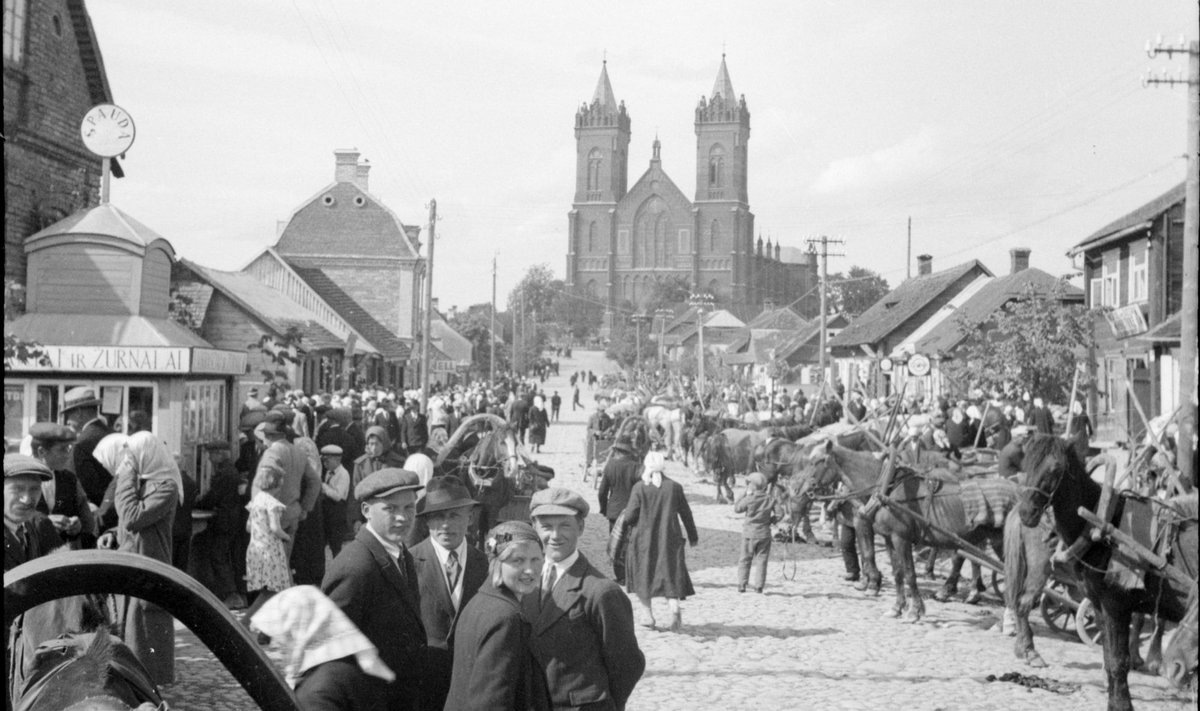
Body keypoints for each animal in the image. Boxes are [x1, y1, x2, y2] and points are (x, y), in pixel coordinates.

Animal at [796, 441, 1012, 619]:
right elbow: (897, 571)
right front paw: (896, 607)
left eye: (818, 461)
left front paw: (913, 609)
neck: (886, 489)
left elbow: (907, 572)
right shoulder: (888, 537)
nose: (801, 489)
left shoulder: (899, 537)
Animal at [1017, 432, 1195, 711]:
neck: (1102, 525)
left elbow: (1118, 660)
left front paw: (1122, 704)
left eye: (1055, 469)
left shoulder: (1116, 605)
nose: (1027, 513)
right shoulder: (1099, 605)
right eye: (1026, 464)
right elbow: (1109, 657)